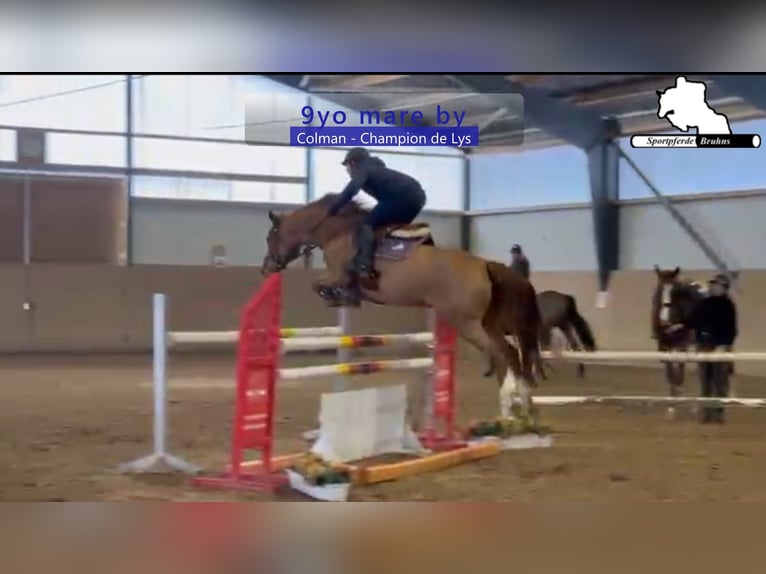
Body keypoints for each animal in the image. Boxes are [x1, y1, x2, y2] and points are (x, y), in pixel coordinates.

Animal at [261, 193, 546, 421]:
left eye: (270, 236)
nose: (266, 268)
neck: (337, 231)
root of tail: (485, 264)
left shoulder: (337, 275)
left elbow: (318, 284)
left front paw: (338, 297)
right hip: (488, 322)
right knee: (510, 353)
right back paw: (523, 406)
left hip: (466, 322)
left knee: (500, 353)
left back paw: (510, 405)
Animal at [651, 265, 707, 404]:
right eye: (659, 289)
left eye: (675, 291)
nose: (664, 319)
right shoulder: (663, 347)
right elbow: (670, 374)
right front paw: (672, 399)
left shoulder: (682, 346)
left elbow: (679, 374)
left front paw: (678, 394)